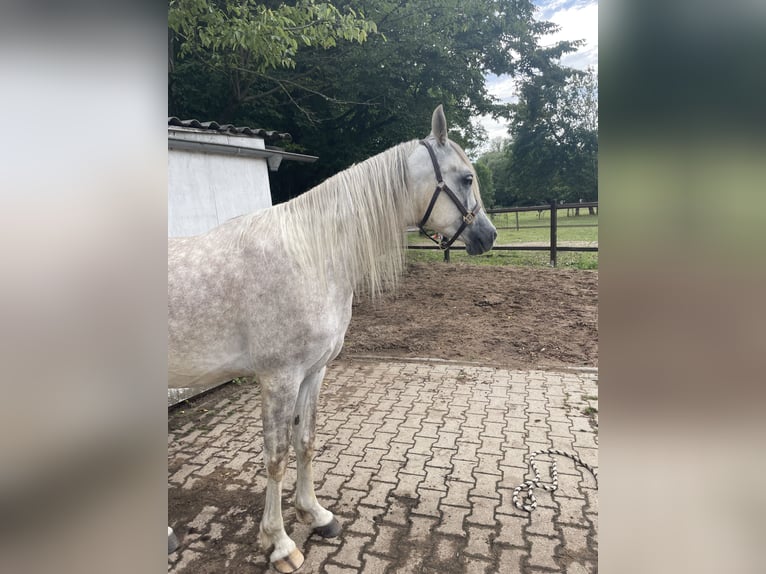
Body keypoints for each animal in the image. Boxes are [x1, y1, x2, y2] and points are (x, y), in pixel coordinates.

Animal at [168, 105, 497, 572]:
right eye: (466, 178)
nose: (489, 235)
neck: (309, 254)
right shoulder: (279, 379)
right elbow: (276, 456)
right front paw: (279, 543)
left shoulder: (313, 373)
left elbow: (305, 441)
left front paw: (316, 515)